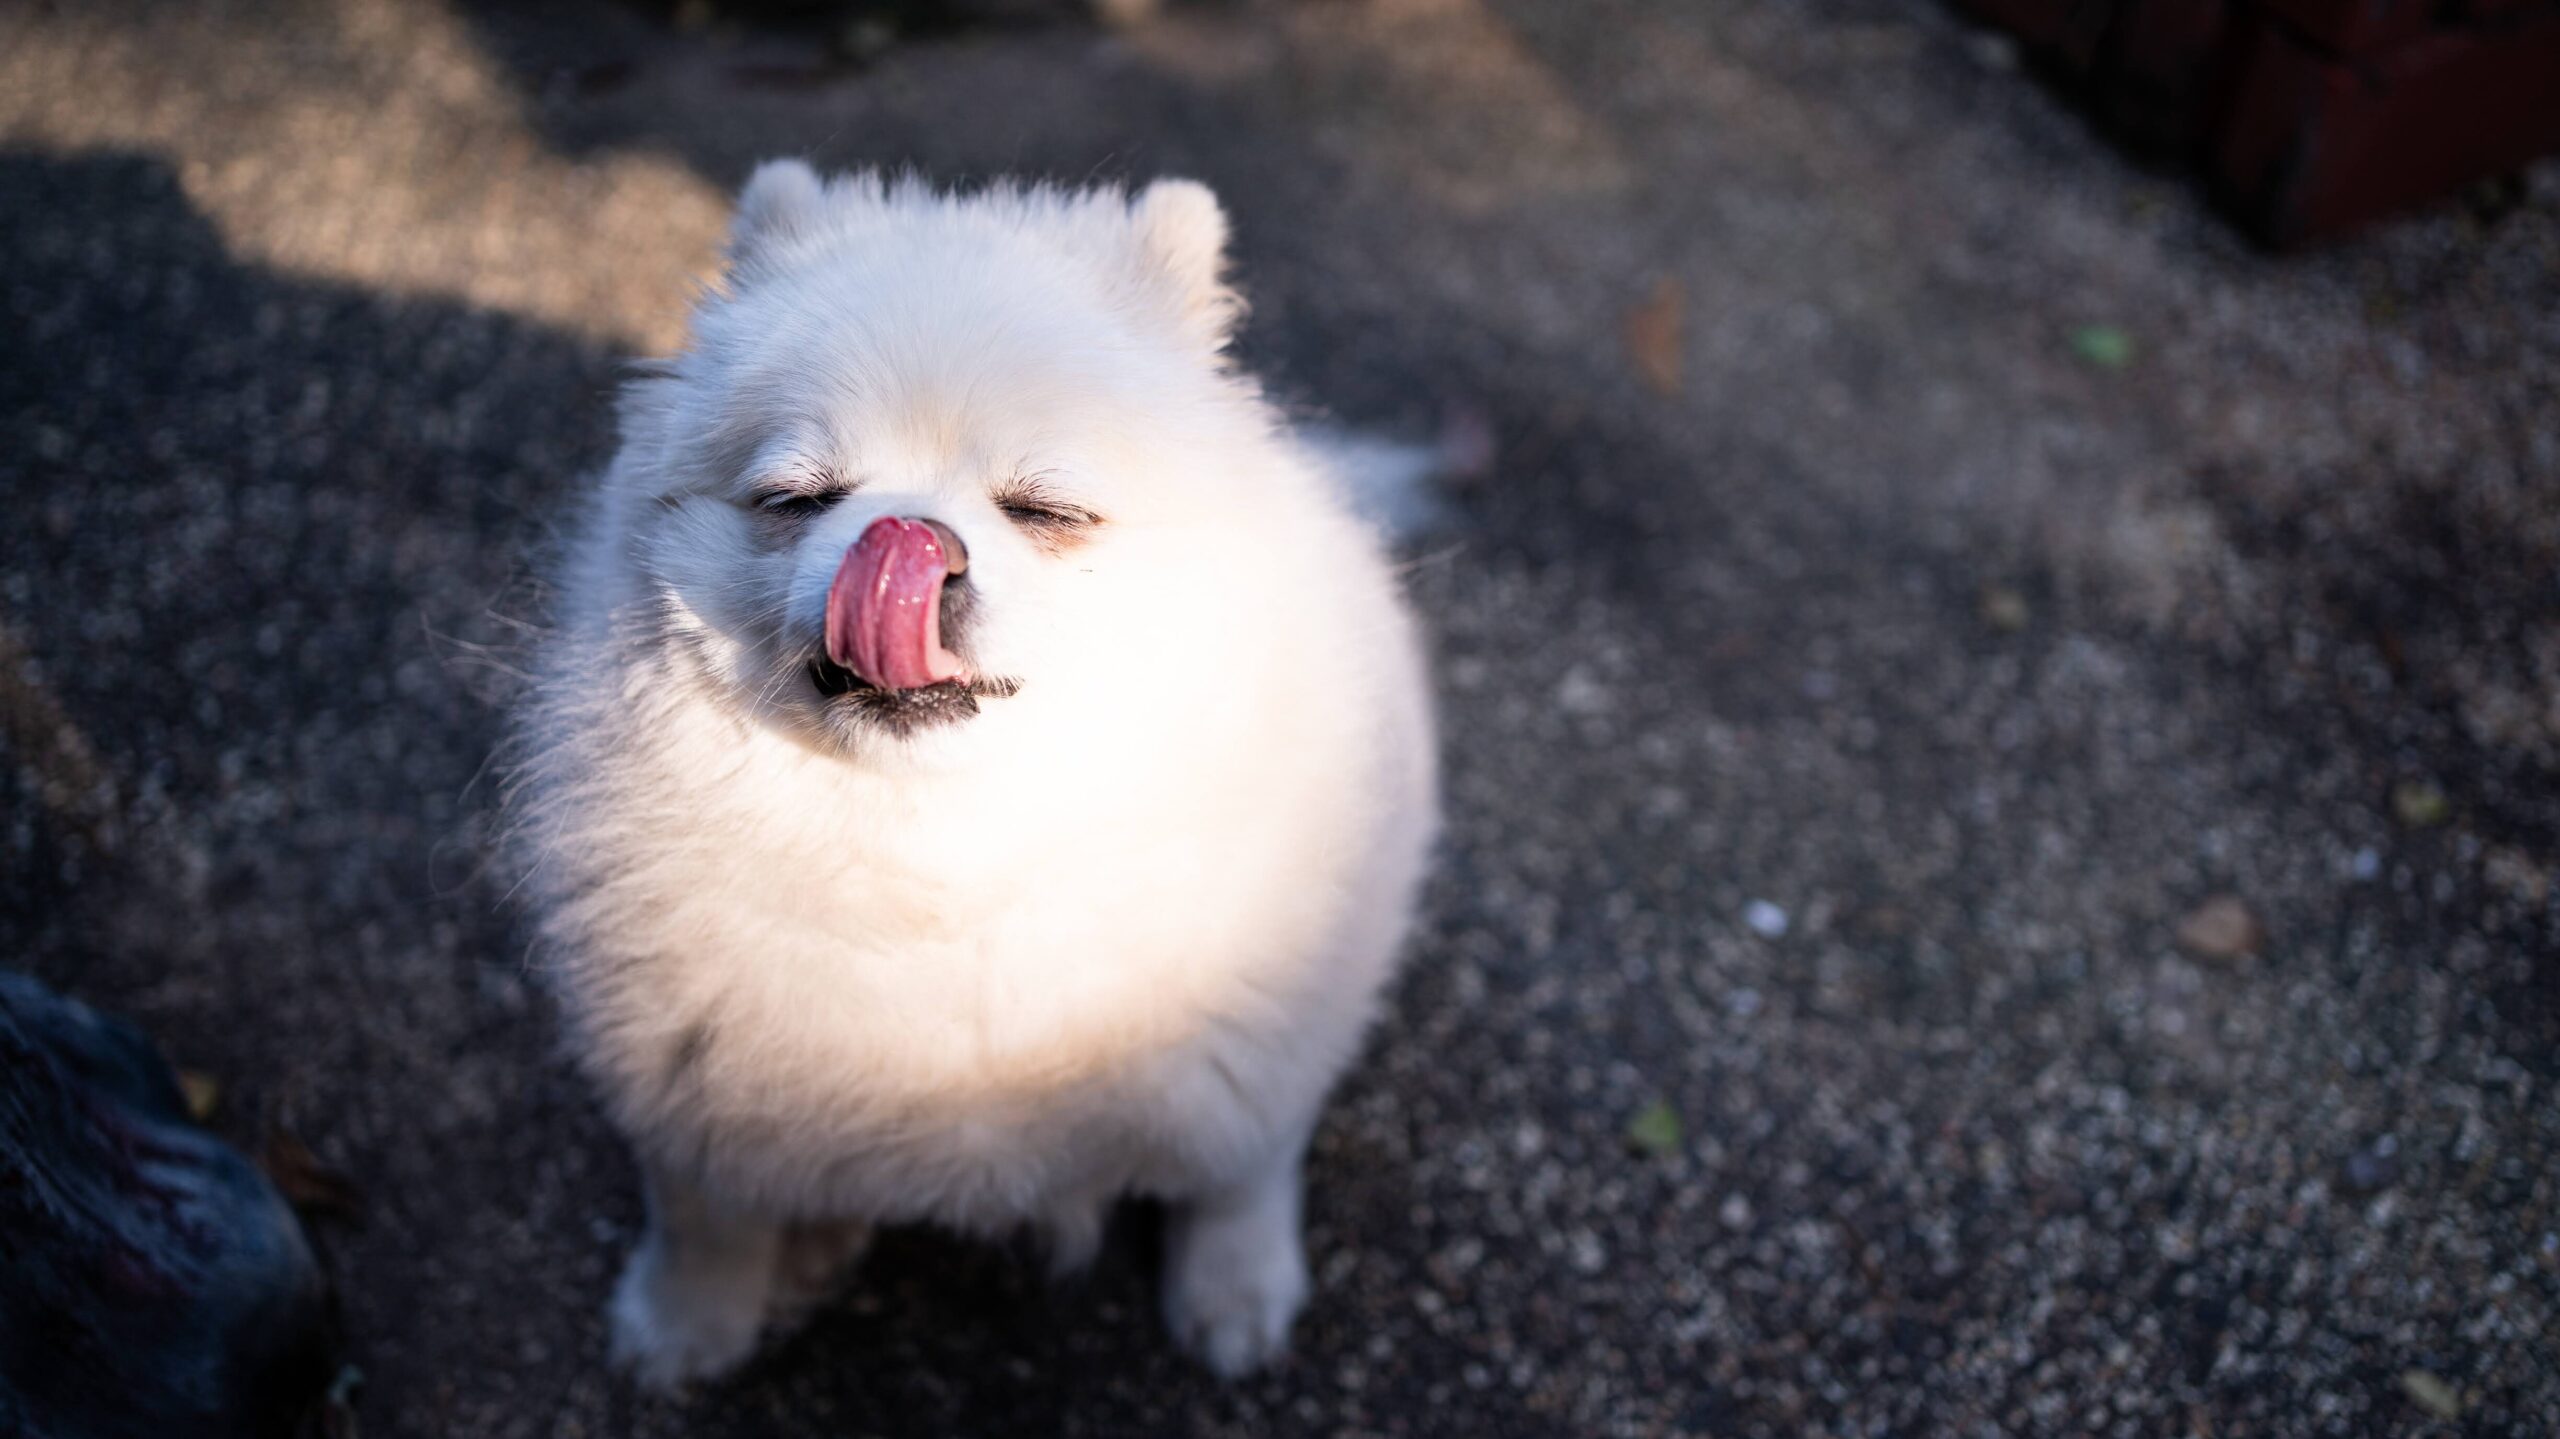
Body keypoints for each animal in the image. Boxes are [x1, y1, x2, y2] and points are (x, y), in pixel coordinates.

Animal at [514, 162, 1443, 1382]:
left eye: (1046, 509)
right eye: (796, 499)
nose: (908, 539)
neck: (943, 858)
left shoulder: (1260, 1052)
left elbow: (1240, 1171)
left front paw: (1235, 1289)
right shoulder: (686, 1077)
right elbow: (707, 1214)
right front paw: (686, 1325)